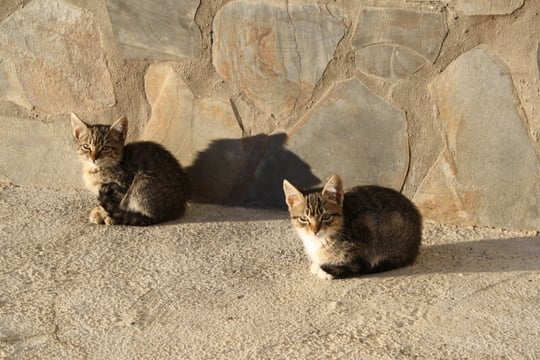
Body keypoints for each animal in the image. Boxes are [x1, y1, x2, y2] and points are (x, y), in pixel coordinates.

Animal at [282, 174, 422, 278]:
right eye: (303, 218)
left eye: (326, 217)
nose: (315, 231)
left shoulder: (365, 227)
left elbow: (356, 265)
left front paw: (325, 270)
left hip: (389, 222)